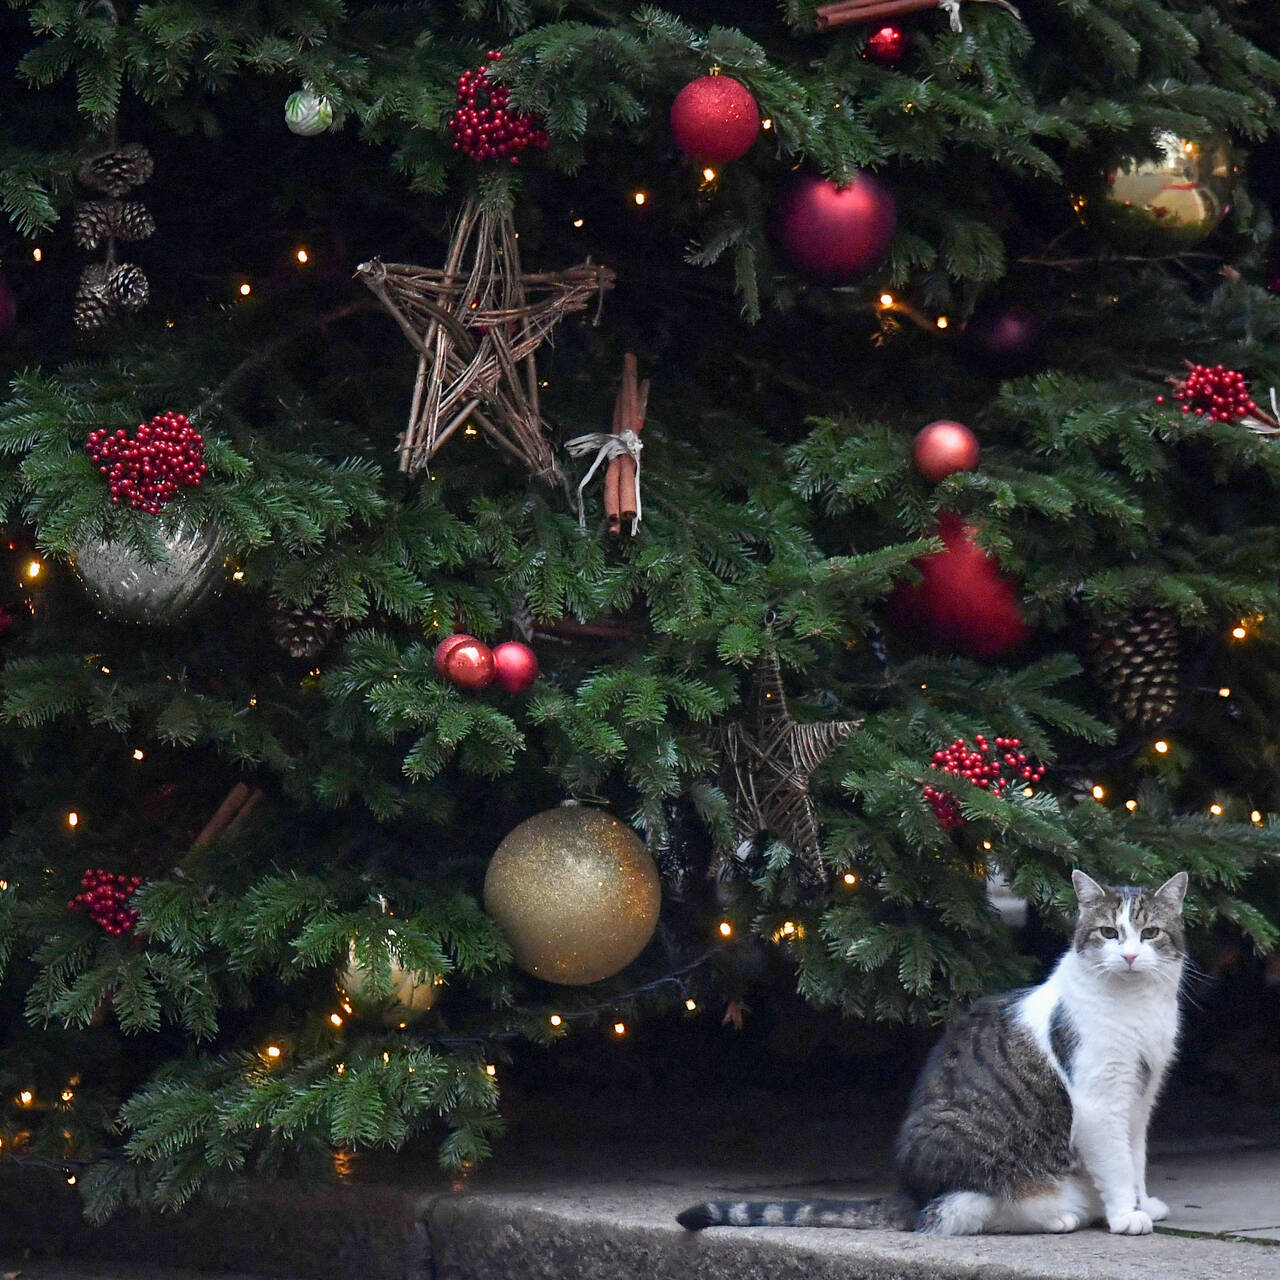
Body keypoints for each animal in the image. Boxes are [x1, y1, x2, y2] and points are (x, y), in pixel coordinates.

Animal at [680, 875, 1187, 1233]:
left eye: (1150, 933)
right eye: (1108, 932)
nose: (1129, 957)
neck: (1137, 1007)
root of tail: (908, 1194)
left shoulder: (1140, 1099)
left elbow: (1136, 1158)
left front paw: (1143, 1203)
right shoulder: (1100, 1101)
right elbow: (1116, 1164)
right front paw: (1125, 1215)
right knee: (961, 1211)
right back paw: (1061, 1215)